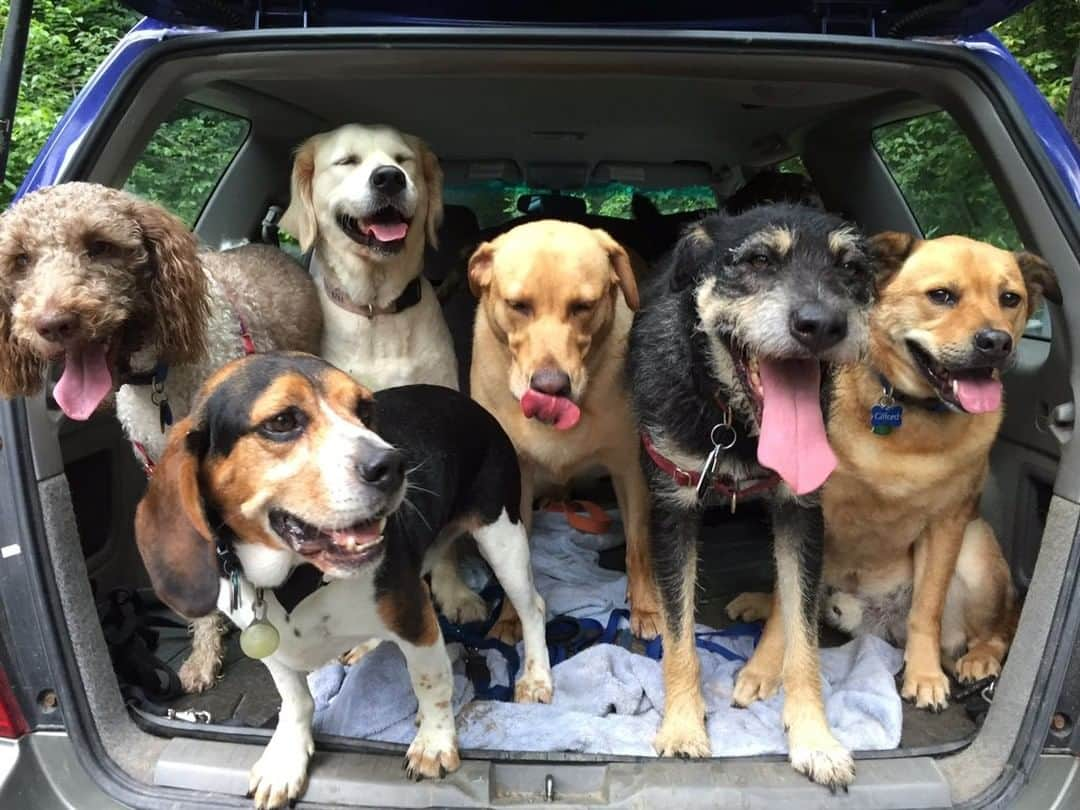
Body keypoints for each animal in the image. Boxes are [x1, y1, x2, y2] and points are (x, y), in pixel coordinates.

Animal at [470, 220, 660, 639]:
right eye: (518, 305)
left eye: (583, 307)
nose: (551, 387)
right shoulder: (515, 484)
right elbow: (516, 569)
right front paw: (511, 618)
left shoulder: (629, 469)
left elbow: (638, 546)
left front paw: (647, 607)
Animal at [630, 204, 876, 794]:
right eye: (760, 260)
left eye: (851, 269)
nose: (821, 325)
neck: (733, 424)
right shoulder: (672, 512)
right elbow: (679, 636)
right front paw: (682, 725)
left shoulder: (802, 512)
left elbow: (806, 638)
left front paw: (814, 737)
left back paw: (763, 664)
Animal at [730, 233, 1058, 708]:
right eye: (941, 296)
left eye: (1009, 299)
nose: (996, 342)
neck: (906, 414)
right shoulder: (801, 510)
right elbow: (784, 605)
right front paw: (764, 666)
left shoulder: (947, 525)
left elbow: (928, 609)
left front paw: (924, 674)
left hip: (975, 549)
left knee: (997, 628)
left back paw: (980, 658)